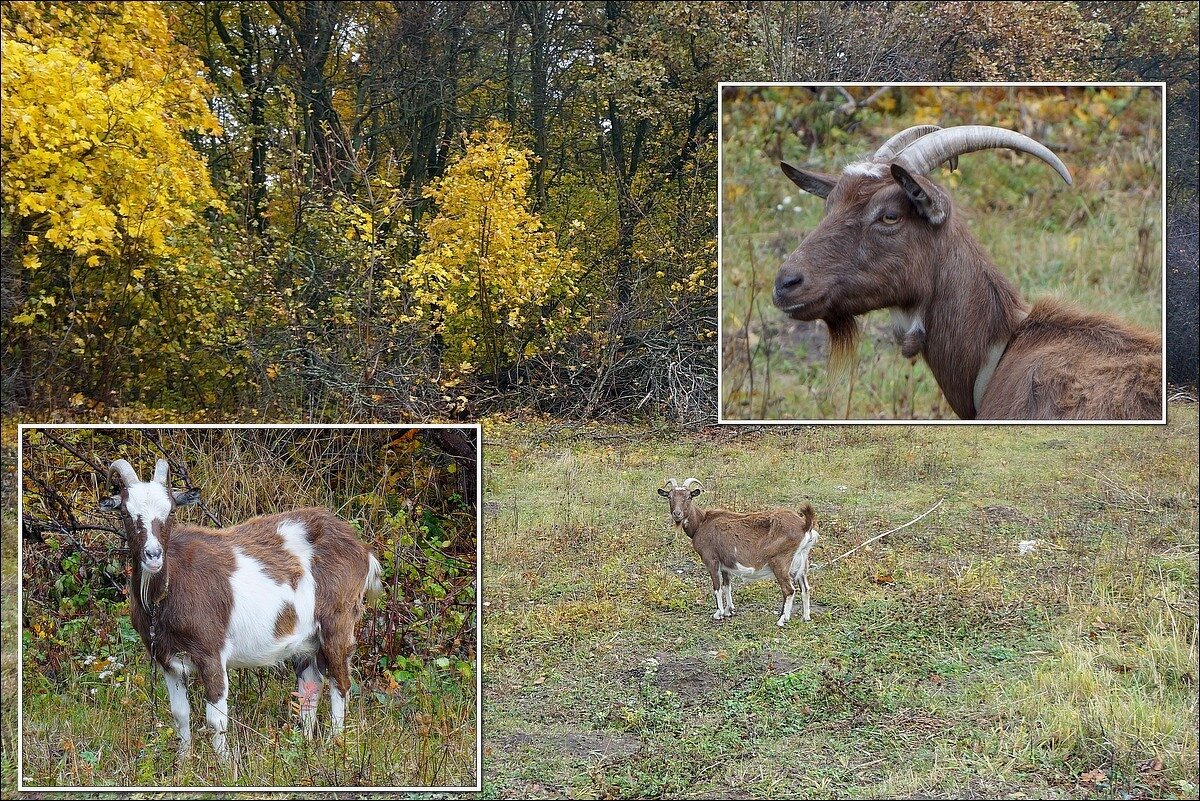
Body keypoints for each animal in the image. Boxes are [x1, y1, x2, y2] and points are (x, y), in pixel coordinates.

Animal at [98, 455, 381, 757]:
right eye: (126, 513)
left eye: (171, 511)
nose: (153, 555)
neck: (166, 594)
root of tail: (362, 549)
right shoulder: (167, 660)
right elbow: (180, 714)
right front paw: (183, 761)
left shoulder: (211, 652)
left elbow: (216, 719)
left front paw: (222, 764)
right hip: (306, 640)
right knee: (310, 687)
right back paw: (304, 744)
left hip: (338, 623)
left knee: (341, 682)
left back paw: (334, 746)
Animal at [657, 474, 816, 623]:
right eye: (669, 497)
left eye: (689, 497)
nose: (677, 514)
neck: (701, 523)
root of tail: (805, 525)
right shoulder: (725, 565)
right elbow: (727, 586)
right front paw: (729, 610)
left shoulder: (712, 560)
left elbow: (717, 587)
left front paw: (719, 613)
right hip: (802, 561)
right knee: (805, 588)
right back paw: (806, 617)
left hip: (780, 561)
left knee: (789, 590)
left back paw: (783, 619)